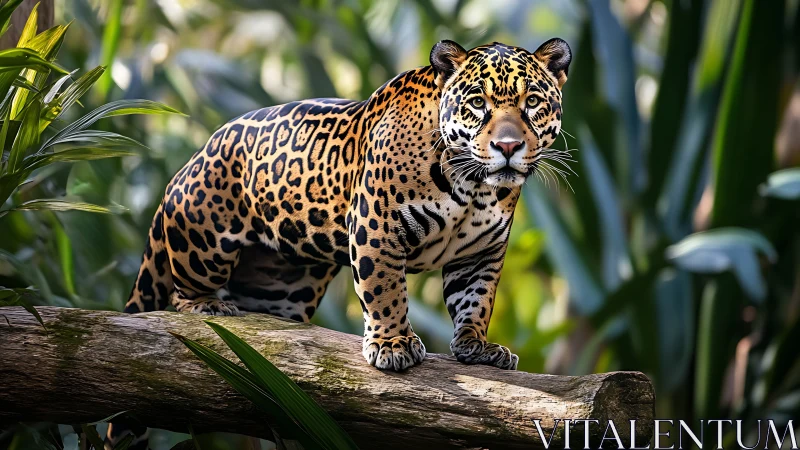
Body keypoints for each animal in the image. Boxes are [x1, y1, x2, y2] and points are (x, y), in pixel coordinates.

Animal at [124, 38, 571, 373]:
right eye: (478, 103)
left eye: (533, 102)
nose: (508, 147)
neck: (473, 184)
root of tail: (190, 160)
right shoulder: (378, 227)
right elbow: (386, 290)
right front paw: (393, 344)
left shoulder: (480, 252)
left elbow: (476, 299)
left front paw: (477, 346)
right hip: (203, 247)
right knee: (180, 296)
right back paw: (208, 306)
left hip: (283, 285)